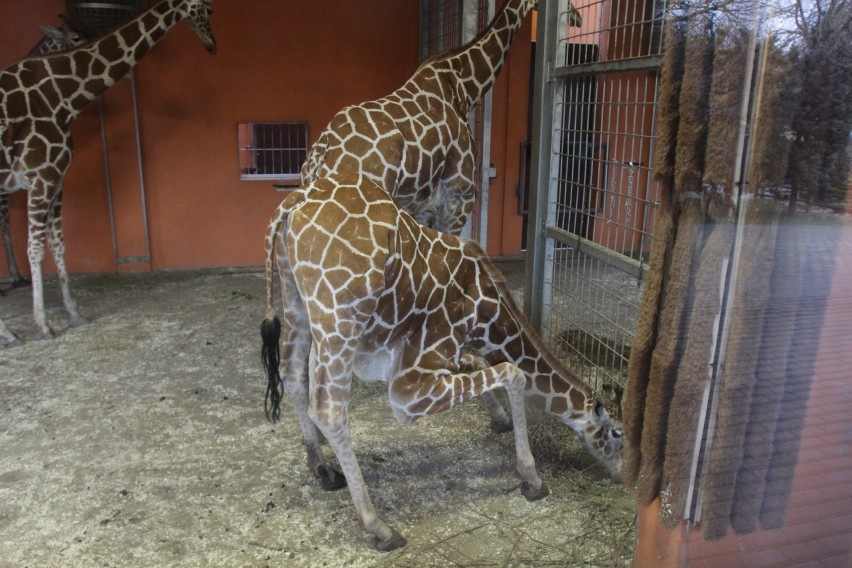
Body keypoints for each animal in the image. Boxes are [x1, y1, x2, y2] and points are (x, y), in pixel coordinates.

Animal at [256, 173, 624, 552]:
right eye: (617, 433)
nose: (623, 474)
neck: (486, 316)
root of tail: (294, 203)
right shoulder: (409, 386)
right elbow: (513, 372)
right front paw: (532, 479)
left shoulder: (444, 358)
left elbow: (480, 364)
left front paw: (500, 419)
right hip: (339, 319)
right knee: (329, 410)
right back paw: (379, 527)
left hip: (297, 300)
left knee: (292, 373)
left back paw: (323, 468)